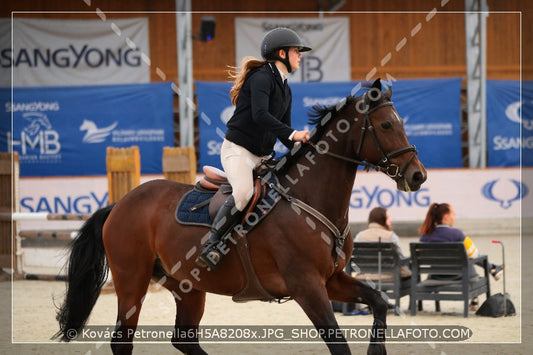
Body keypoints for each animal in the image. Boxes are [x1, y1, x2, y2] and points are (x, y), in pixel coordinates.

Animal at [54, 79, 426, 355]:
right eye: (386, 124)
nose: (418, 175)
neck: (310, 200)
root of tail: (120, 204)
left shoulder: (331, 279)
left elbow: (379, 301)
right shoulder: (306, 285)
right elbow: (339, 345)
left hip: (187, 285)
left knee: (184, 339)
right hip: (132, 280)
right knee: (123, 342)